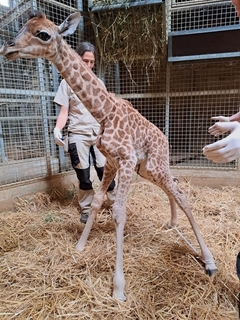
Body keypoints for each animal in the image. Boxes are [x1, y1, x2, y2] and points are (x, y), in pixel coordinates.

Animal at [0, 11, 218, 302]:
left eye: (43, 34)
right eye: (22, 26)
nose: (7, 48)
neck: (103, 112)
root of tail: (165, 140)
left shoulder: (125, 160)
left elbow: (118, 212)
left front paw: (119, 288)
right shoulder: (113, 163)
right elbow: (95, 202)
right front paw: (80, 246)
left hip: (153, 165)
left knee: (181, 194)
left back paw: (209, 261)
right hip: (148, 168)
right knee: (173, 187)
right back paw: (172, 223)